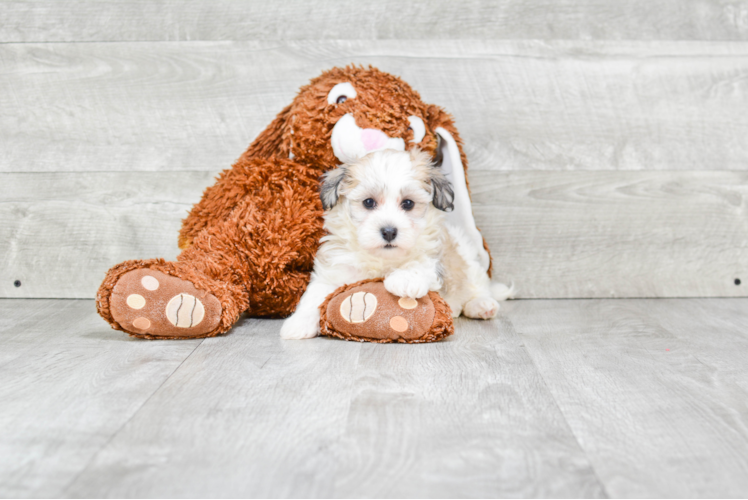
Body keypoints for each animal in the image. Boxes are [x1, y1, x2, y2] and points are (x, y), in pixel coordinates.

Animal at [280, 148, 508, 340]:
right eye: (368, 202)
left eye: (408, 203)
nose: (389, 231)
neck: (381, 259)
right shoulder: (334, 269)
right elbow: (315, 295)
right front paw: (298, 324)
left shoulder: (434, 254)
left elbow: (421, 262)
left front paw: (405, 280)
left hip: (467, 258)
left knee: (477, 286)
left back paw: (482, 305)